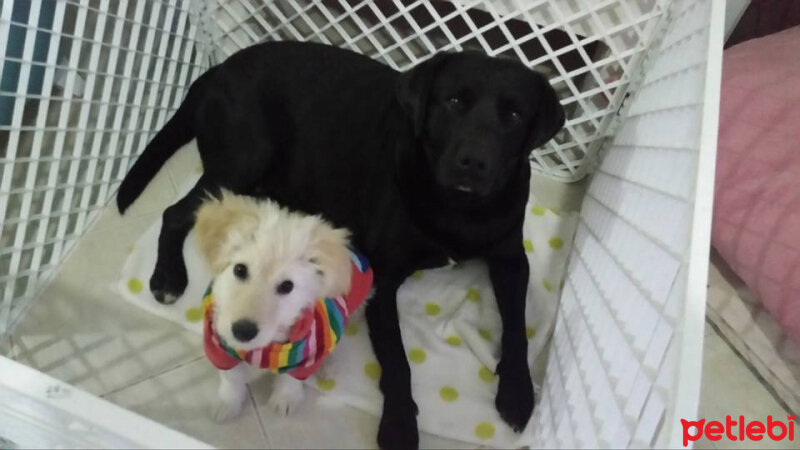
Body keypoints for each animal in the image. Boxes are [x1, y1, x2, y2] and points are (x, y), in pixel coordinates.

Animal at [196, 191, 366, 422]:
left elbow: (290, 379)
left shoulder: (304, 352)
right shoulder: (217, 345)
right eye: (240, 269)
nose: (243, 331)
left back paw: (327, 366)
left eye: (287, 286)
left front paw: (285, 399)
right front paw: (227, 403)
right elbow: (231, 378)